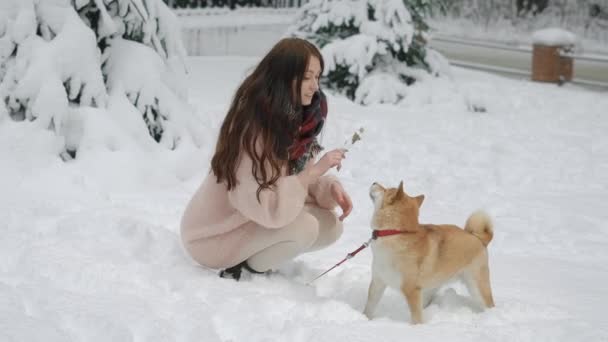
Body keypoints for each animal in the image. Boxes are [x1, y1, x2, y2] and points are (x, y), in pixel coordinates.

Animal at [360, 182, 494, 324]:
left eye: (386, 189)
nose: (374, 182)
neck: (395, 233)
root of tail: (478, 238)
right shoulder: (378, 282)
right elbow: (369, 307)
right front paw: (364, 319)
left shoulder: (411, 290)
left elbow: (416, 318)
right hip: (431, 287)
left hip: (476, 286)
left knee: (489, 304)